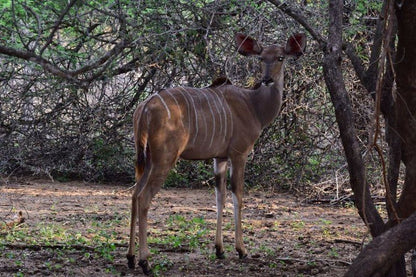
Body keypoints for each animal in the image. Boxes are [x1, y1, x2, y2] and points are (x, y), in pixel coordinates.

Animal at [127, 31, 306, 272]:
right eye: (261, 58)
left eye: (280, 57)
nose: (267, 79)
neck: (254, 106)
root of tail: (144, 107)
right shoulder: (239, 153)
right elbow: (238, 194)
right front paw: (241, 250)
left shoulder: (219, 157)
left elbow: (219, 196)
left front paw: (220, 250)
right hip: (164, 158)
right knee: (144, 197)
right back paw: (145, 261)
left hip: (147, 159)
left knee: (134, 195)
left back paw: (130, 258)